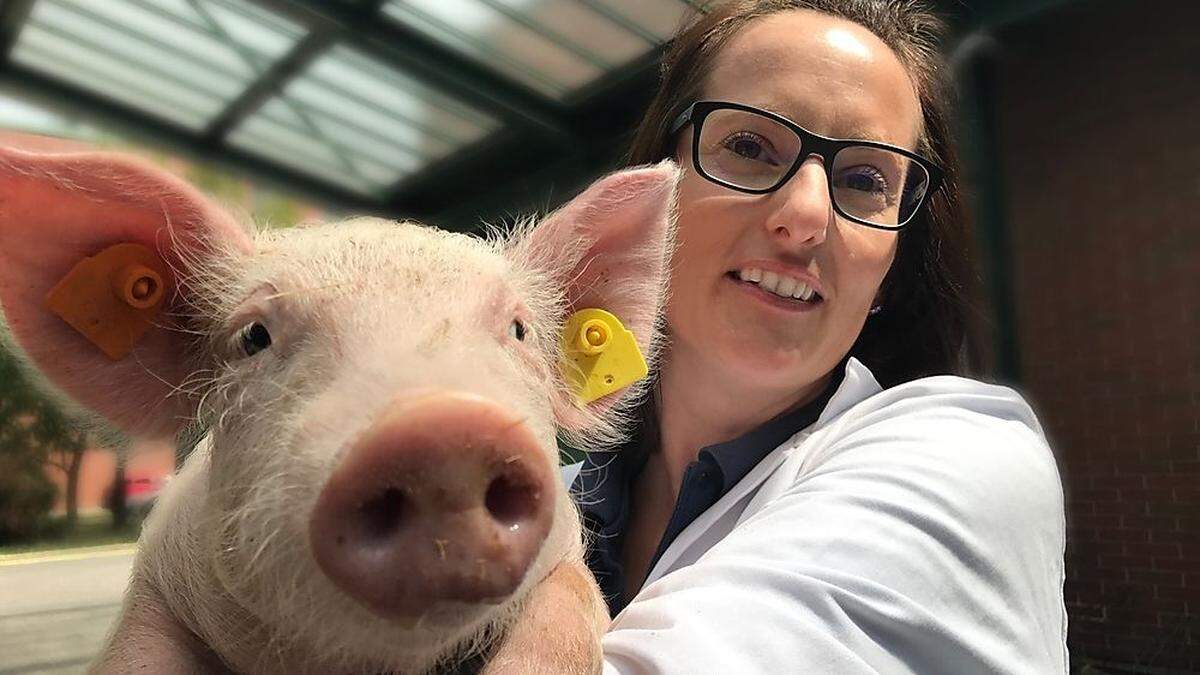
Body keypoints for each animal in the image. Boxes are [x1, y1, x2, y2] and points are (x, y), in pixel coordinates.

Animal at [0, 144, 676, 667]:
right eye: (253, 336)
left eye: (519, 330)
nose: (441, 434)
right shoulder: (157, 583)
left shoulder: (567, 559)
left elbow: (567, 612)